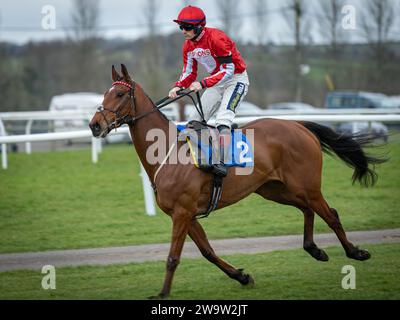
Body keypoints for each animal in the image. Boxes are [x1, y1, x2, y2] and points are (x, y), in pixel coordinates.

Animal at [90, 63, 384, 298]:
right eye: (104, 94)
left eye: (119, 94)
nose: (95, 125)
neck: (167, 152)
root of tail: (299, 125)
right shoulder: (187, 215)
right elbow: (208, 252)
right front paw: (242, 276)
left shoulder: (182, 212)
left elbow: (173, 256)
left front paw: (162, 293)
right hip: (275, 189)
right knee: (307, 210)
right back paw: (314, 249)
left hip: (307, 186)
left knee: (331, 214)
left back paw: (356, 252)